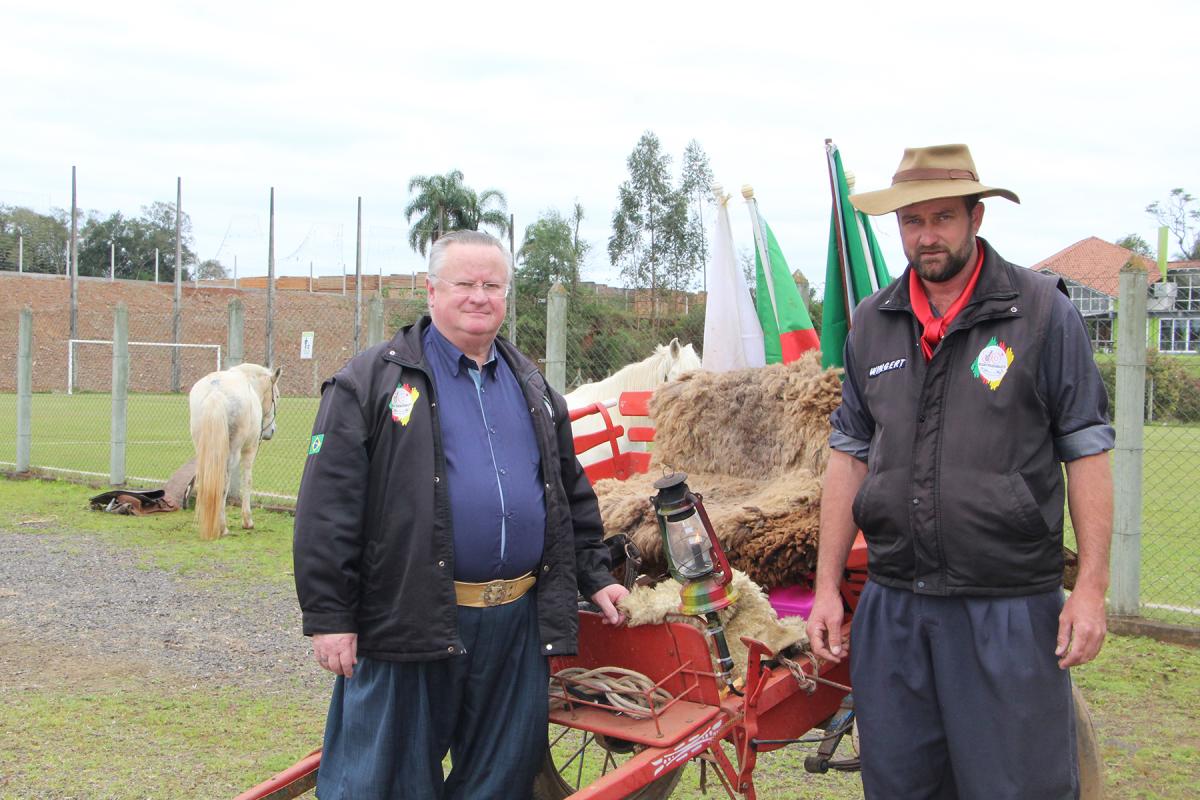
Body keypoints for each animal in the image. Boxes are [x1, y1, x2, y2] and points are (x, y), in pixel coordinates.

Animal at [187, 364, 280, 542]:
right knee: (223, 484)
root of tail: (215, 391)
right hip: (232, 452)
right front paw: (247, 520)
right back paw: (222, 527)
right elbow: (247, 481)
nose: (271, 431)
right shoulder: (250, 450)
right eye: (277, 396)